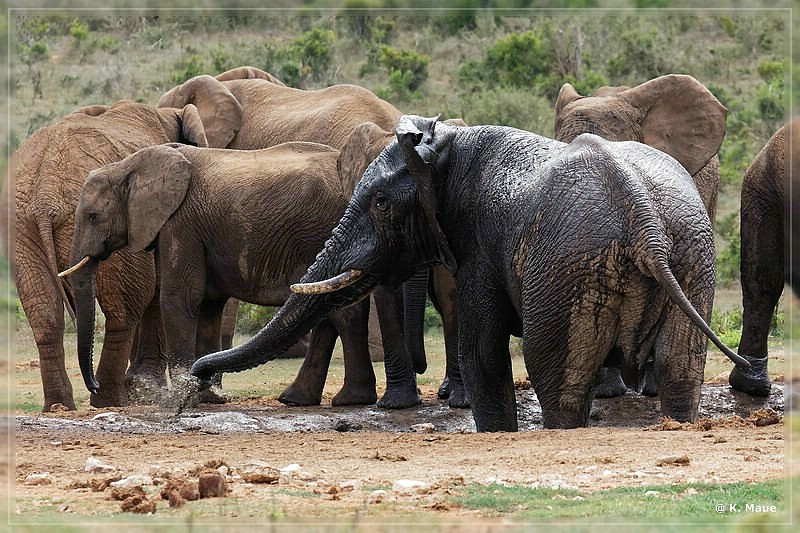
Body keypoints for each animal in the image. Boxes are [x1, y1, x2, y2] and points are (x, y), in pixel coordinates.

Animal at [12, 65, 284, 412]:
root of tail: (46, 189)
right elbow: (158, 285)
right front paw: (147, 389)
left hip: (21, 224)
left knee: (44, 312)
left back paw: (62, 406)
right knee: (125, 308)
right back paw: (108, 399)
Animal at [192, 114, 752, 430]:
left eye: (380, 203)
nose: (197, 378)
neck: (448, 146)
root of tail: (645, 220)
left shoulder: (480, 246)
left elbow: (482, 350)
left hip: (570, 271)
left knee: (557, 379)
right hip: (692, 255)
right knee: (681, 370)